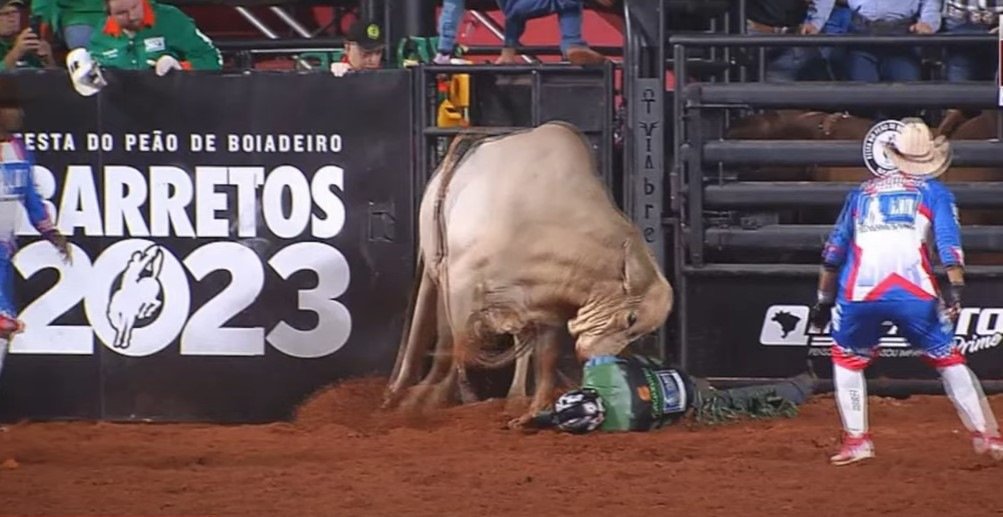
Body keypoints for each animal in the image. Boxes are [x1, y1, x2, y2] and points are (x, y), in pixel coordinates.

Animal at [383, 121, 674, 429]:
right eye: (630, 319)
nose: (601, 360)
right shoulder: (460, 285)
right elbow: (459, 346)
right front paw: (433, 399)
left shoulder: (546, 302)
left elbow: (545, 357)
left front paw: (532, 411)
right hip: (433, 265)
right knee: (431, 328)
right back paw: (400, 390)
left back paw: (514, 396)